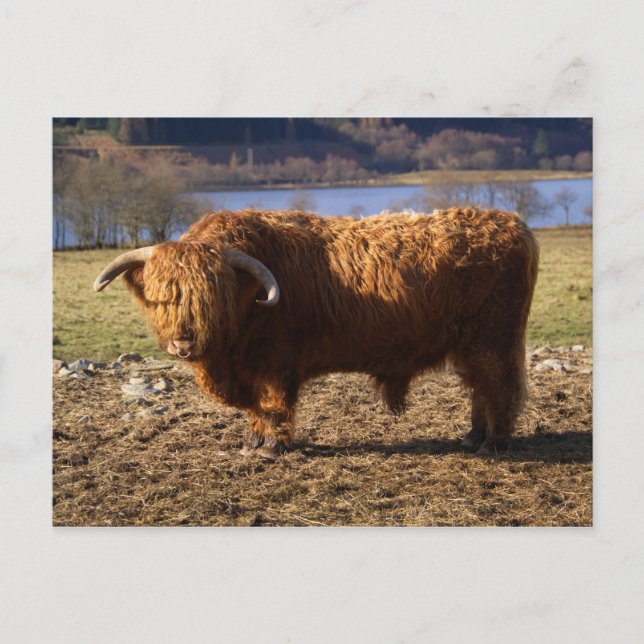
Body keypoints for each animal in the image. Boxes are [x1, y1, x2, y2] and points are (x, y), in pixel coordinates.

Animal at [94, 208, 539, 458]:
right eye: (163, 296)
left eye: (213, 295)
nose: (184, 342)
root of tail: (513, 223)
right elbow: (256, 409)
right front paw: (254, 442)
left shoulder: (277, 364)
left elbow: (274, 404)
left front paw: (273, 448)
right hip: (470, 342)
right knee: (480, 387)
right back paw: (471, 437)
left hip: (494, 336)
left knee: (499, 385)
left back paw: (493, 443)